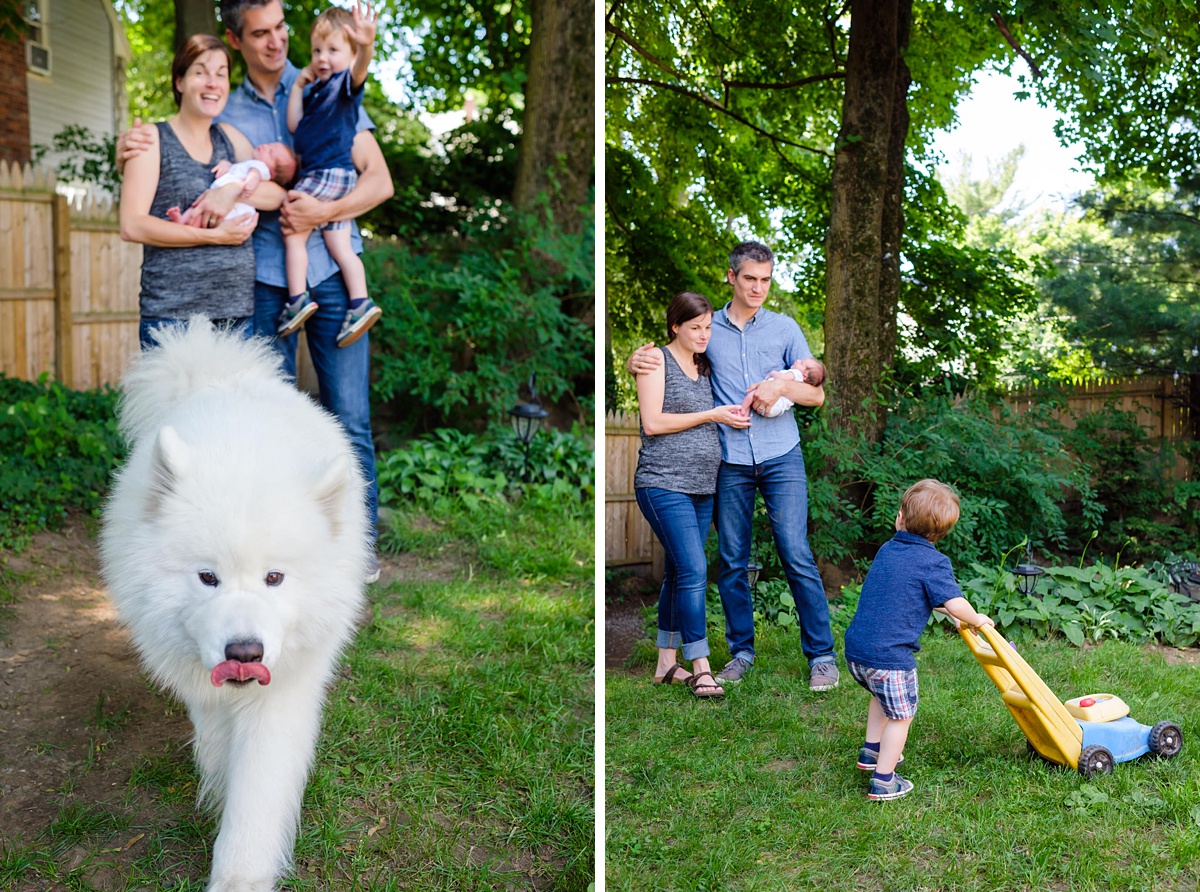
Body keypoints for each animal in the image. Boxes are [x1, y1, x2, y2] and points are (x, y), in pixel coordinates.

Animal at [100, 321, 367, 892]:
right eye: (208, 578)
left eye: (274, 578)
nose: (245, 652)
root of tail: (222, 375)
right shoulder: (204, 684)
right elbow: (219, 740)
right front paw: (219, 783)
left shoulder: (283, 689)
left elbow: (258, 792)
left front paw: (239, 870)